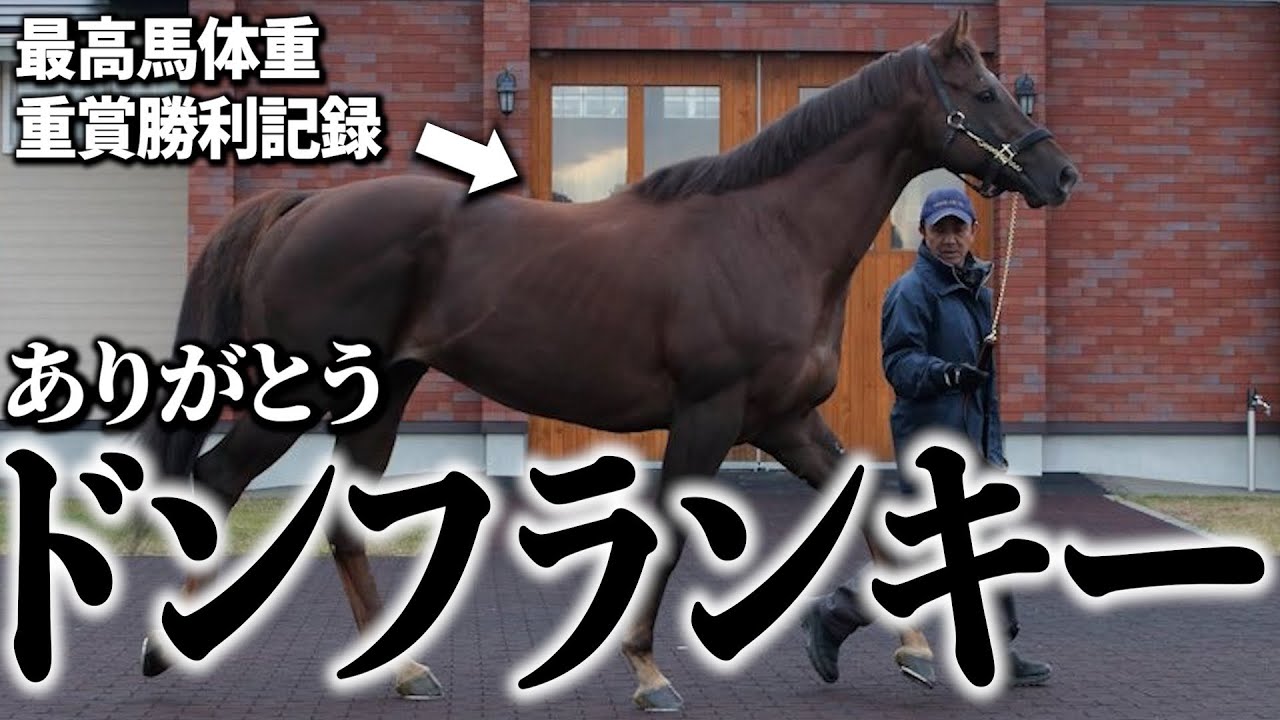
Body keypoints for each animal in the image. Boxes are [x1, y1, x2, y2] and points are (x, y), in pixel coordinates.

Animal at [134, 11, 1078, 712]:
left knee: (336, 524)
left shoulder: (783, 421)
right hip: (299, 393)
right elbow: (667, 538)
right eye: (984, 90)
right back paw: (168, 648)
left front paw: (910, 646)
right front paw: (649, 673)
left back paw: (401, 669)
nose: (1060, 173)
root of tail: (298, 209)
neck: (767, 234)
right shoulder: (709, 416)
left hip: (382, 398)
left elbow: (872, 513)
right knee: (217, 480)